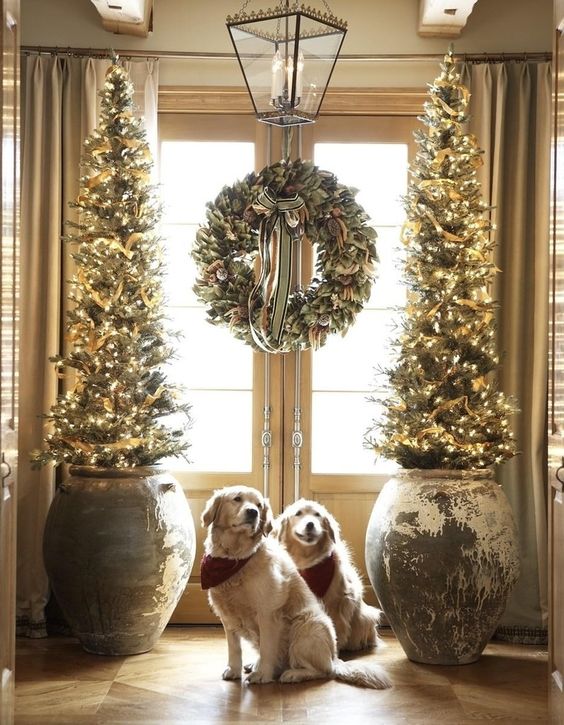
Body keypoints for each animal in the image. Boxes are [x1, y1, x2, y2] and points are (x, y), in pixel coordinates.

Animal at [274, 498, 382, 652]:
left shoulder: (338, 600)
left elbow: (335, 626)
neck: (308, 561)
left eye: (317, 514)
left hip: (366, 617)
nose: (310, 524)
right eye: (298, 513)